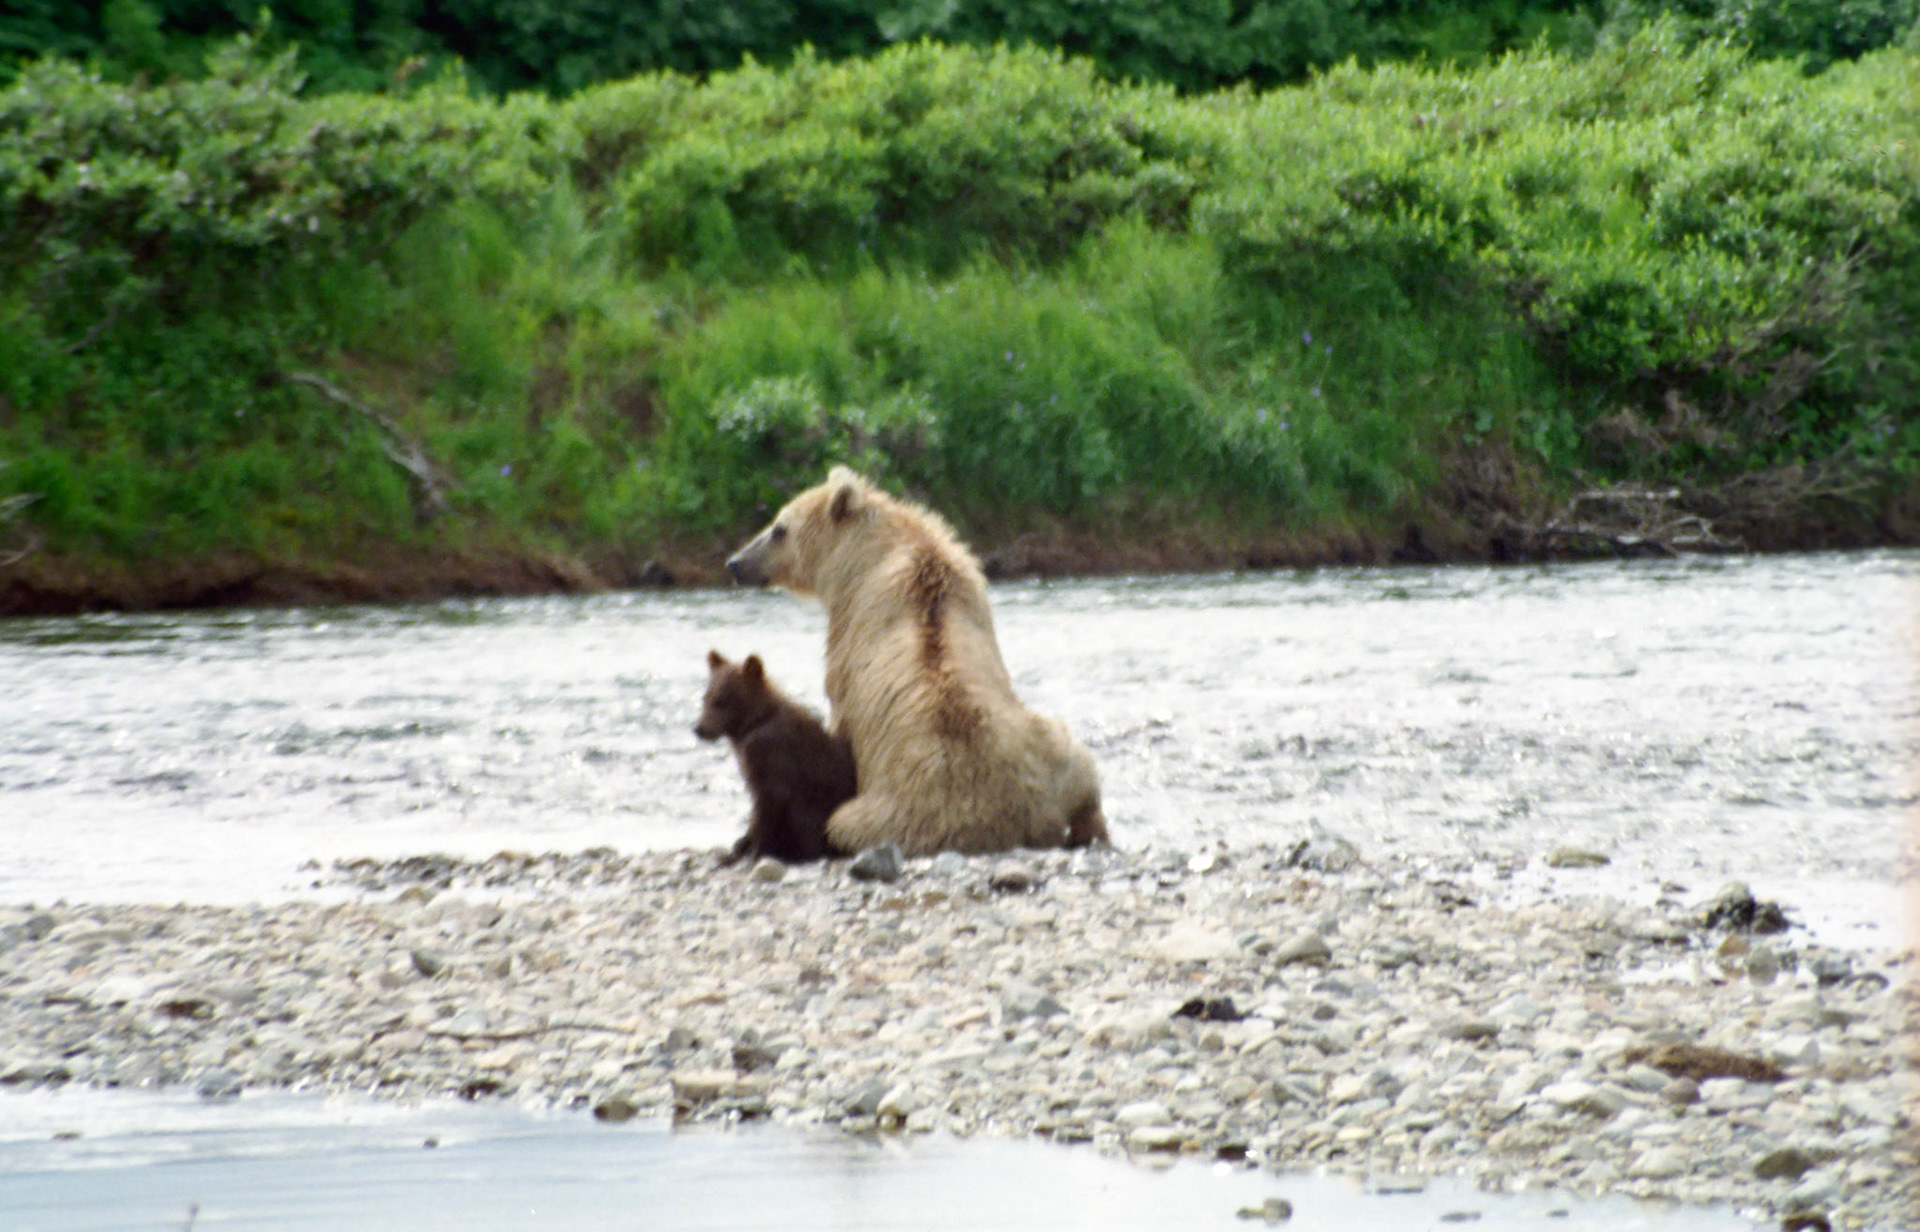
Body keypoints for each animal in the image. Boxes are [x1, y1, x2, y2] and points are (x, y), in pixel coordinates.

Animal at [694, 649, 855, 866]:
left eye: (721, 700)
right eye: (705, 697)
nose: (699, 729)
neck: (753, 723)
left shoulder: (771, 755)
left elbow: (768, 803)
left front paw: (753, 851)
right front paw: (740, 847)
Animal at [724, 466, 1109, 856]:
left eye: (779, 529)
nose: (735, 563)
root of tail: (997, 824)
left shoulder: (850, 638)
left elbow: (839, 719)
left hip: (889, 815)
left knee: (843, 821)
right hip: (1050, 752)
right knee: (1084, 769)